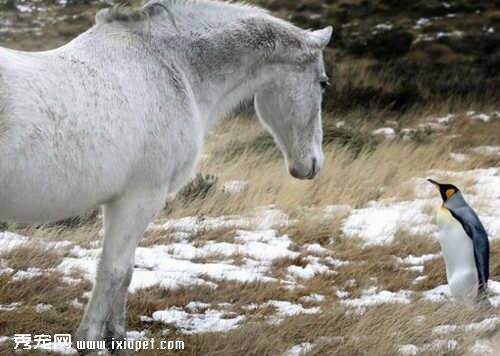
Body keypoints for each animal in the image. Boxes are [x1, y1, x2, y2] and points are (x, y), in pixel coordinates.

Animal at [0, 0, 332, 350]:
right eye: (323, 83)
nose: (312, 164)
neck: (174, 67)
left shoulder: (120, 202)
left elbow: (125, 271)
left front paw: (116, 337)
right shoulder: (140, 198)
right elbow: (113, 270)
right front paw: (90, 340)